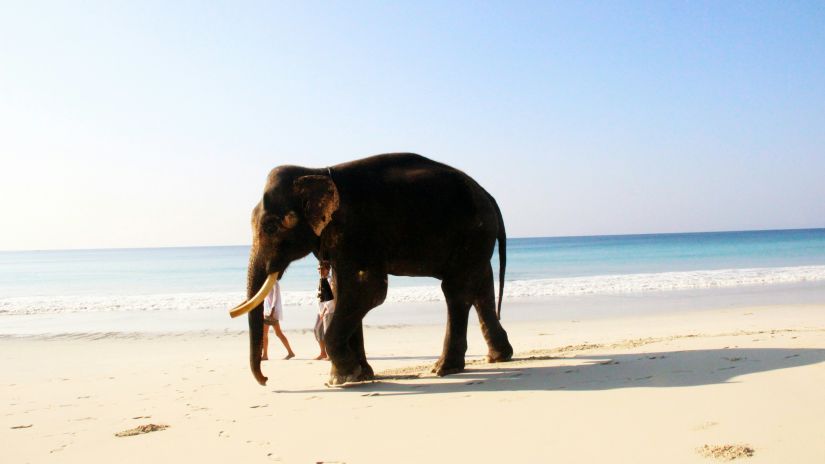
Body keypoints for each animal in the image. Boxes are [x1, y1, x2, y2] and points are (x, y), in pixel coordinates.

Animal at [229, 152, 512, 384]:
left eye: (270, 226)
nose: (266, 379)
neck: (318, 171)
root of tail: (488, 195)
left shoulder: (358, 231)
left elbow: (368, 291)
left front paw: (343, 378)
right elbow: (343, 292)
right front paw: (359, 375)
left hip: (472, 232)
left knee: (456, 290)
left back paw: (443, 369)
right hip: (477, 239)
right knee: (480, 287)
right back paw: (497, 357)